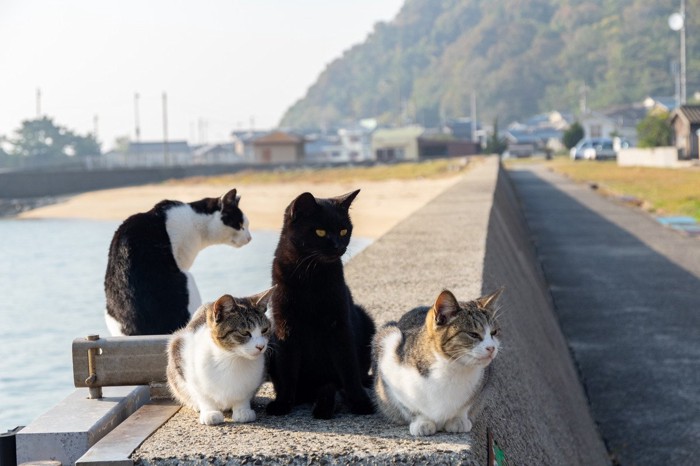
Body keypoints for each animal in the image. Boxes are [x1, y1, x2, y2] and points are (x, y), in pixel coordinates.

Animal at [165, 292, 272, 426]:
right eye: (244, 333)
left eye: (265, 330)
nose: (261, 346)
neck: (232, 358)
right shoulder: (182, 357)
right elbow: (203, 395)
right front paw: (210, 412)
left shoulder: (254, 379)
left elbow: (243, 394)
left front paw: (242, 410)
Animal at [266, 189, 378, 418]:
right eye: (320, 232)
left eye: (344, 230)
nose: (338, 246)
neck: (311, 275)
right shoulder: (285, 328)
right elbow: (287, 369)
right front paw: (283, 403)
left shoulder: (339, 325)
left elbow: (348, 367)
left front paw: (360, 402)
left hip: (366, 320)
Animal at [372, 288, 504, 436]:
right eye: (473, 334)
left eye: (494, 332)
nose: (492, 348)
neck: (450, 367)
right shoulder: (388, 361)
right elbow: (409, 406)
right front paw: (422, 421)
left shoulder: (484, 382)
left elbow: (467, 405)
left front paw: (458, 419)